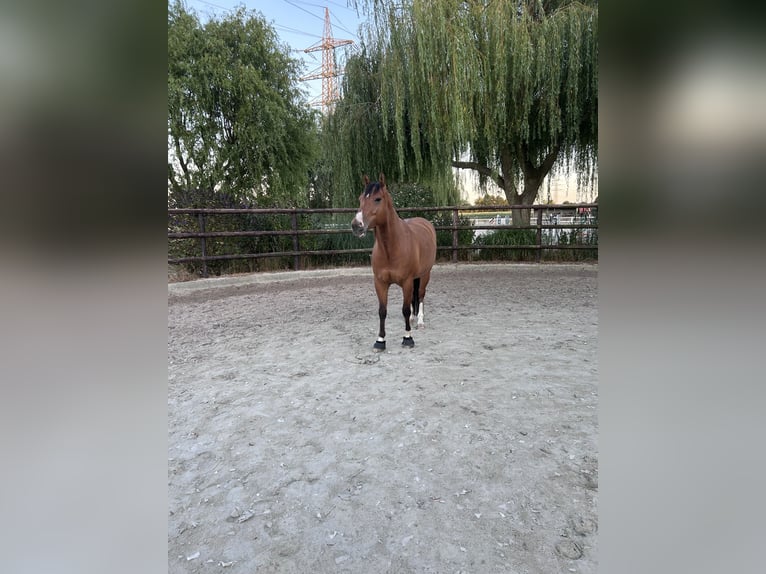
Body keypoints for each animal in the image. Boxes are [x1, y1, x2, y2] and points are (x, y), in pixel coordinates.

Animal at [351, 173, 437, 351]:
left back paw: (420, 321)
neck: (391, 248)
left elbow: (405, 309)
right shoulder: (380, 283)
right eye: (360, 198)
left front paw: (408, 338)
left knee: (421, 295)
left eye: (377, 199)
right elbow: (382, 311)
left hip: (425, 275)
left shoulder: (407, 281)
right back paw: (412, 319)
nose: (356, 225)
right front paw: (380, 340)